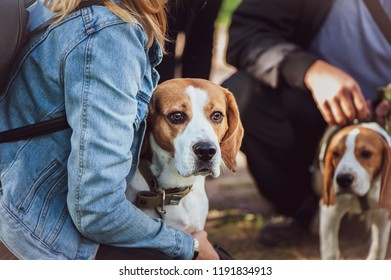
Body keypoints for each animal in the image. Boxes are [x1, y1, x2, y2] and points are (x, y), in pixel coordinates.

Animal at [320, 122, 391, 260]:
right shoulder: (330, 211)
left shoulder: (383, 213)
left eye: (366, 153)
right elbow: (330, 253)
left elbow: (377, 250)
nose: (343, 179)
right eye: (335, 154)